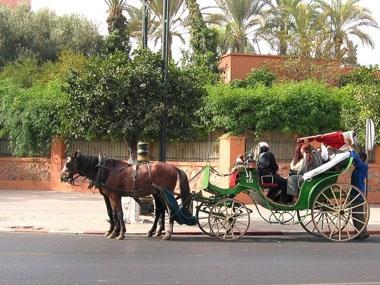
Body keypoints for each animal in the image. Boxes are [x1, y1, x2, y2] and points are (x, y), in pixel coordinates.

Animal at [60, 151, 191, 240]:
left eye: (68, 164)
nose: (62, 177)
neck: (105, 170)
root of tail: (174, 167)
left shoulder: (115, 195)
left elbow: (118, 213)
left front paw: (120, 233)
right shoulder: (109, 196)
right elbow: (112, 213)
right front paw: (113, 231)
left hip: (165, 193)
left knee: (170, 210)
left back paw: (167, 233)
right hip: (158, 194)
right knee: (160, 210)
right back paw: (155, 231)